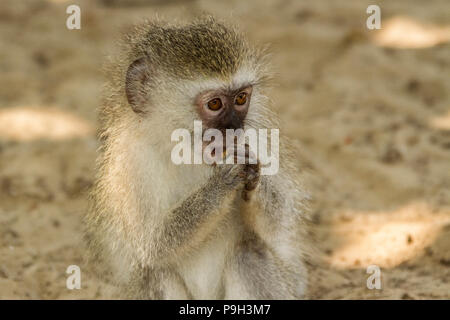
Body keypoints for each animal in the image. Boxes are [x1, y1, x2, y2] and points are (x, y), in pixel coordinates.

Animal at [83, 16, 310, 298]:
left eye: (241, 98)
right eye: (214, 104)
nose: (234, 129)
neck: (187, 155)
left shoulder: (260, 137)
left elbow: (277, 226)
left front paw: (252, 171)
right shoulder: (129, 163)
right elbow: (152, 244)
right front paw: (221, 183)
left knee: (249, 254)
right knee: (153, 273)